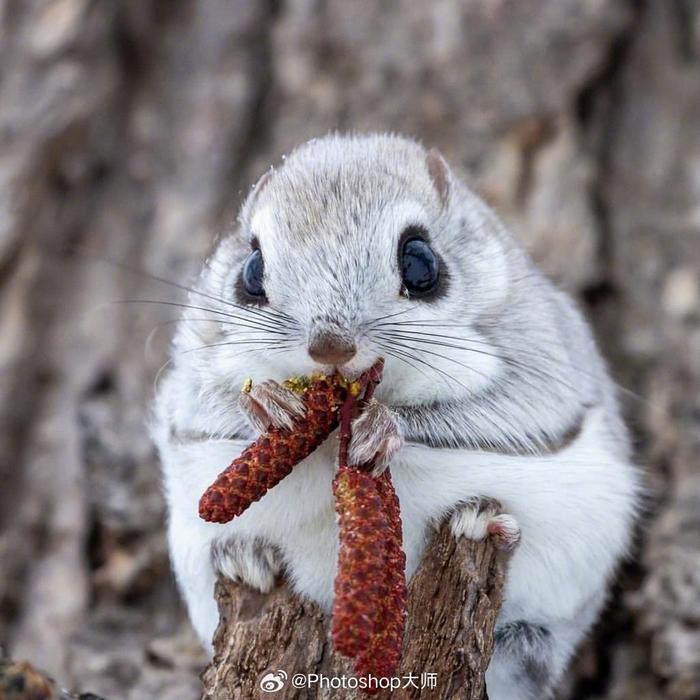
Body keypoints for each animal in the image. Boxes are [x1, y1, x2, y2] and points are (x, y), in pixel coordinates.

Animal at [152, 133, 640, 700]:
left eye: (421, 262)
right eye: (250, 272)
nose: (330, 346)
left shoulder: (540, 365)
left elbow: (487, 412)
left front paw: (385, 429)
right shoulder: (191, 381)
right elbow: (209, 408)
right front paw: (268, 404)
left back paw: (486, 525)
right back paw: (244, 558)